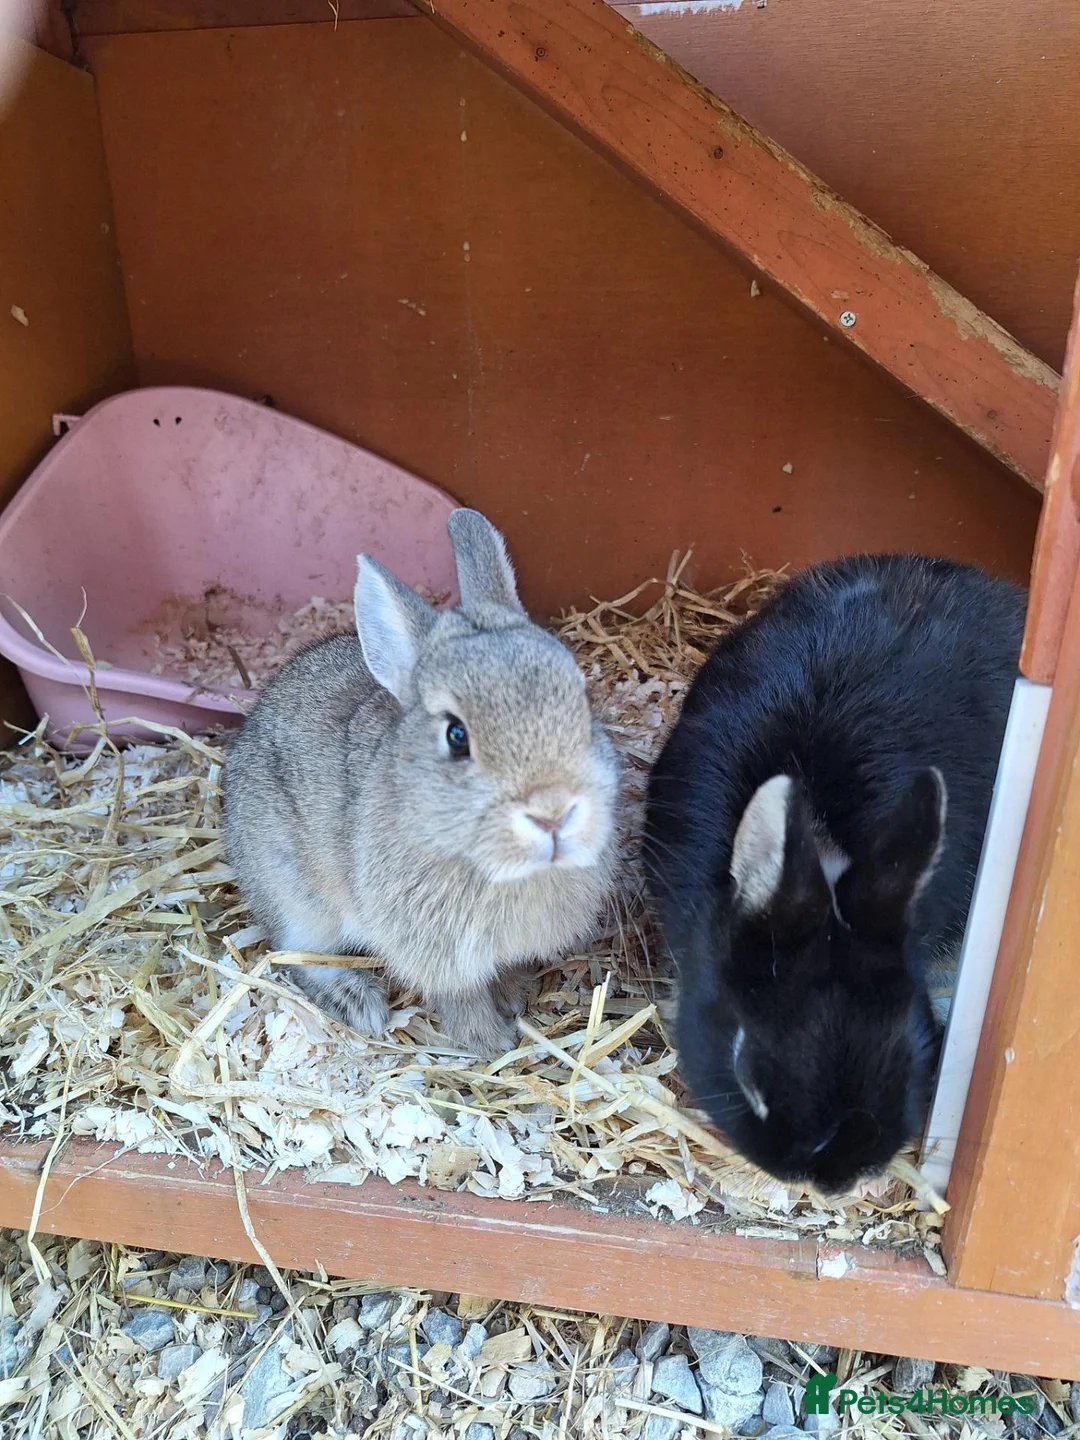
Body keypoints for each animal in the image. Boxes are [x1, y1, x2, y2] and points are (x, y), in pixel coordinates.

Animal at [224, 509, 619, 1057]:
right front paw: (489, 1043)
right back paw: (357, 1001)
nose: (554, 812)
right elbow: (460, 997)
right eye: (456, 735)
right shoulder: (435, 952)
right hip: (296, 897)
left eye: (582, 702)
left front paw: (515, 996)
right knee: (295, 954)